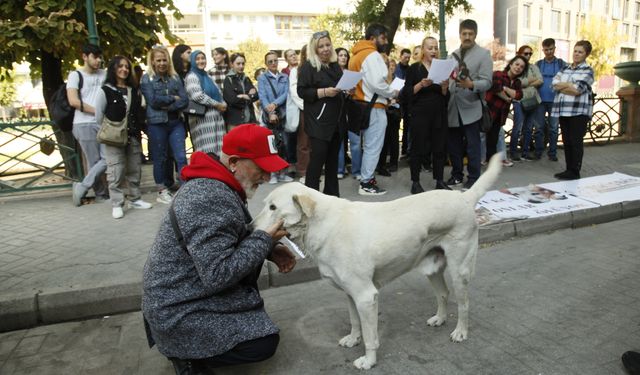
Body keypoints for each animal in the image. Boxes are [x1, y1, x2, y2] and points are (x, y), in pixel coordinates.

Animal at [252, 153, 502, 370]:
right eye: (265, 204)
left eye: (273, 207)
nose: (250, 227)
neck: (320, 225)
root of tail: (464, 197)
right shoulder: (350, 294)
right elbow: (355, 322)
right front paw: (353, 339)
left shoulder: (365, 296)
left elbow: (370, 336)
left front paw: (369, 360)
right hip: (431, 268)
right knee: (443, 294)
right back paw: (439, 319)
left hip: (460, 270)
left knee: (463, 303)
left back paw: (461, 332)